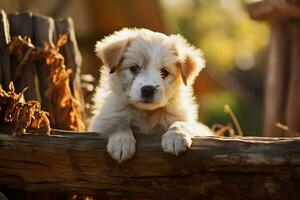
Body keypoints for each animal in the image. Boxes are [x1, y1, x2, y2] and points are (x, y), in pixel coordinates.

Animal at [88, 27, 212, 162]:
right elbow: (119, 123)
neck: (146, 113)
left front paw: (175, 137)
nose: (148, 90)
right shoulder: (104, 119)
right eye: (134, 68)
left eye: (164, 72)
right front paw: (121, 142)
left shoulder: (189, 121)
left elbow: (181, 123)